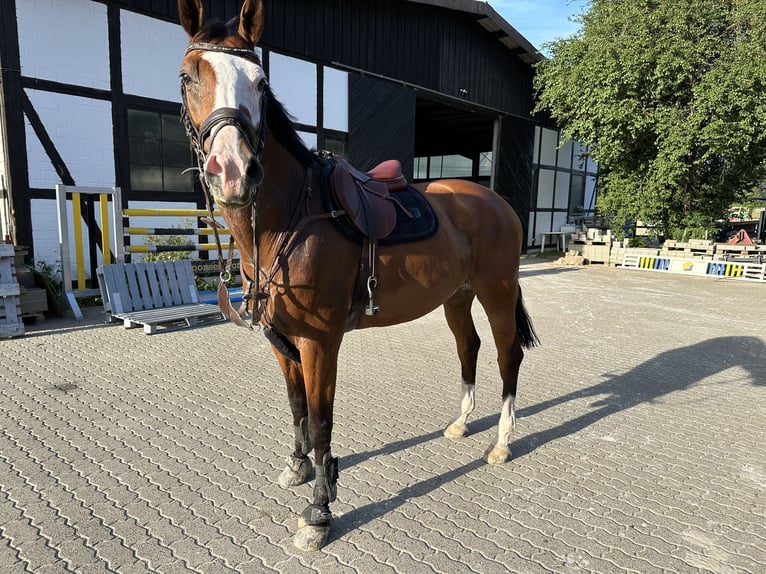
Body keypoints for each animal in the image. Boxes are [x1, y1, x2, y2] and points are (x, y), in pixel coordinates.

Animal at [178, 0, 540, 552]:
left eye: (261, 81)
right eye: (188, 76)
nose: (234, 171)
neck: (291, 218)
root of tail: (495, 200)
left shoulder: (320, 342)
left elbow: (321, 421)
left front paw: (319, 512)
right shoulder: (282, 341)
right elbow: (297, 408)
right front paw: (298, 468)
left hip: (496, 292)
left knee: (507, 355)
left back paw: (500, 444)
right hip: (457, 296)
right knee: (469, 348)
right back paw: (460, 424)